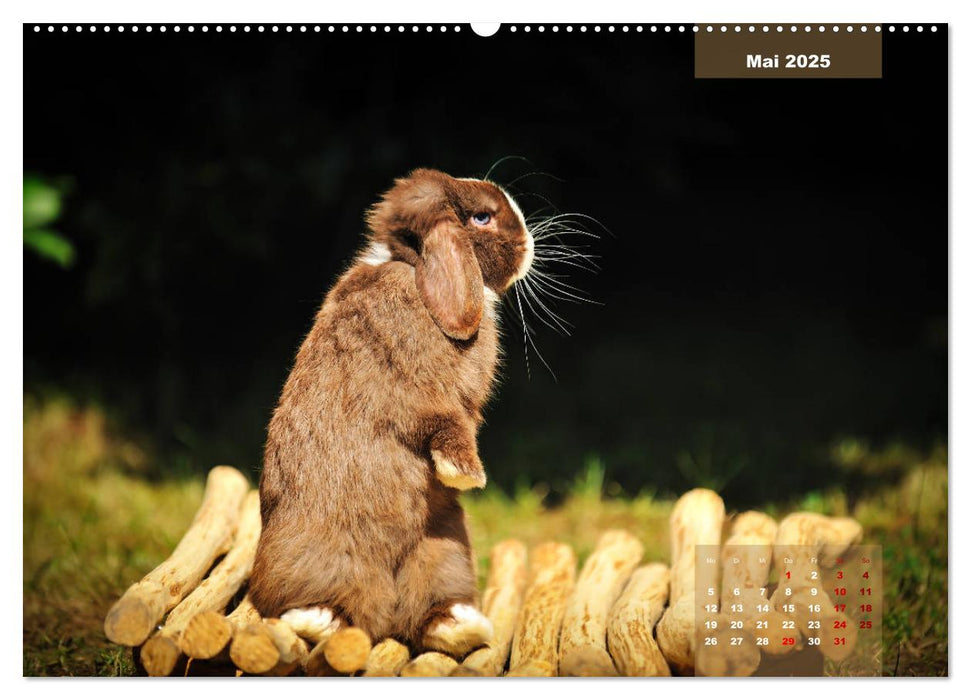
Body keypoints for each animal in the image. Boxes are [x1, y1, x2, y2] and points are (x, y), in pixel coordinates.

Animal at [247, 167, 536, 652]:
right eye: (481, 217)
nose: (530, 244)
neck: (414, 268)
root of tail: (382, 613)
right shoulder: (419, 389)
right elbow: (441, 423)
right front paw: (468, 476)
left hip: (447, 551)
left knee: (425, 614)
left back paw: (461, 625)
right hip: (312, 554)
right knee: (314, 603)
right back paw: (317, 619)